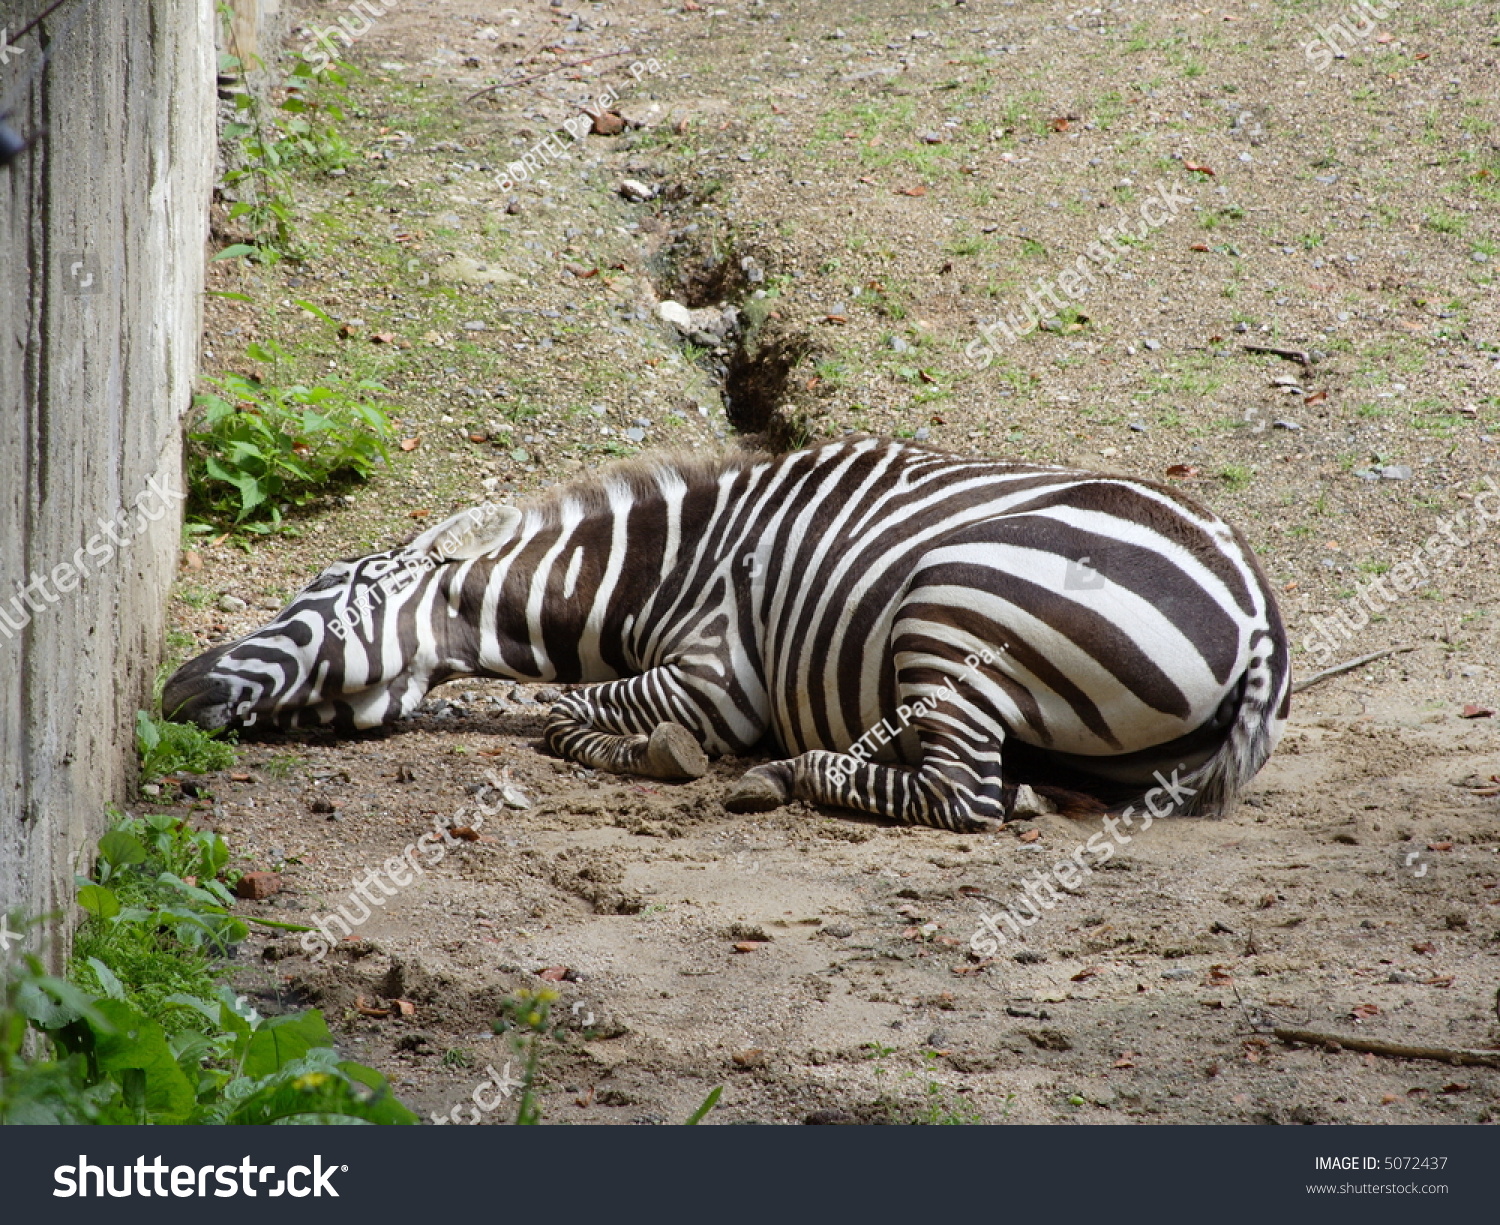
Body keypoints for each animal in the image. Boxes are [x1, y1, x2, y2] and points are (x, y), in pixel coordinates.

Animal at [161, 437, 1290, 833]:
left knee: (963, 797)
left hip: (951, 611)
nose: (173, 689)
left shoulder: (715, 676)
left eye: (316, 598)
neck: (666, 569)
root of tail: (1254, 606)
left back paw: (789, 775)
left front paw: (661, 752)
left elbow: (567, 712)